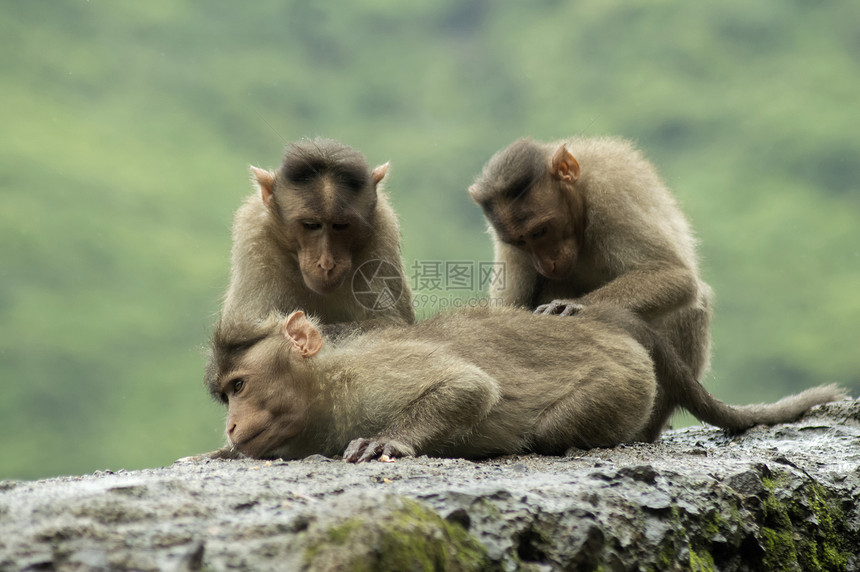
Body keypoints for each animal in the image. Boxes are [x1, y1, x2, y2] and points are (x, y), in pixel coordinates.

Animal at [218, 137, 414, 336]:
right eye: (311, 225)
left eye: (340, 225)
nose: (327, 264)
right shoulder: (254, 236)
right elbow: (242, 328)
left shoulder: (383, 231)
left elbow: (390, 322)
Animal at [470, 136, 712, 384]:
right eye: (520, 242)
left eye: (540, 232)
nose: (546, 265)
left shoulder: (609, 193)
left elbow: (674, 275)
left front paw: (574, 305)